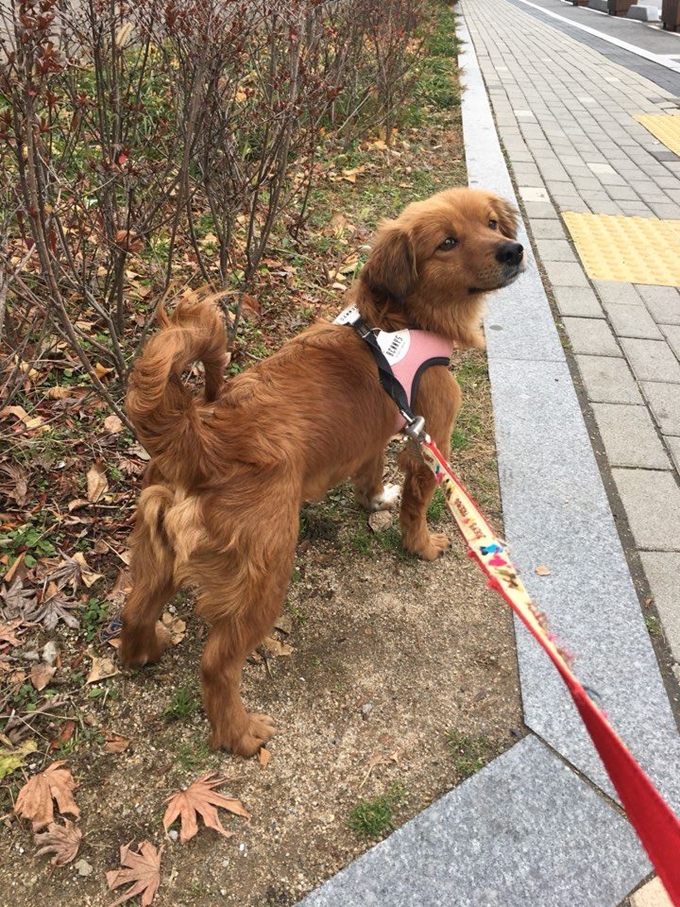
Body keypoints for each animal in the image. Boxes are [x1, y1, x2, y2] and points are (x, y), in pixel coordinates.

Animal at [122, 188, 524, 756]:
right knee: (217, 663)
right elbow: (418, 503)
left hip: (157, 549)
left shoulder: (378, 431)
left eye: (491, 223)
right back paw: (239, 734)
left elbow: (370, 474)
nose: (512, 250)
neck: (396, 321)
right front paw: (421, 546)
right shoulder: (429, 439)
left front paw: (374, 501)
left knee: (135, 610)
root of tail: (201, 436)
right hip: (267, 573)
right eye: (448, 242)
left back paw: (144, 649)